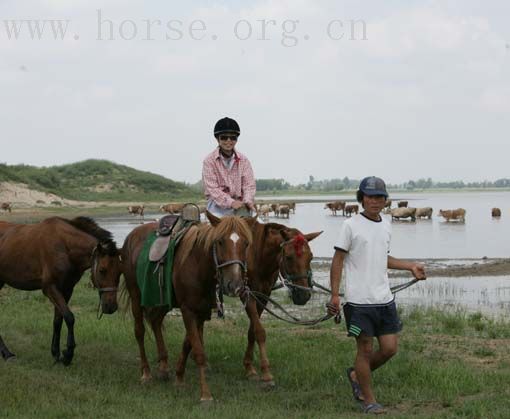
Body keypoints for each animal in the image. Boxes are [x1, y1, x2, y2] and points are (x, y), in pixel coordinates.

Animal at [0, 218, 120, 366]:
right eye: (102, 270)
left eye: (120, 272)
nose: (111, 307)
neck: (64, 246)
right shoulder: (50, 288)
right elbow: (69, 317)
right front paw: (68, 354)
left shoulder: (66, 289)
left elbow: (58, 320)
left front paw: (56, 353)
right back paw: (7, 354)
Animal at [121, 212, 253, 402]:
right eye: (220, 241)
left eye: (246, 243)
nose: (234, 285)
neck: (198, 265)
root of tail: (131, 236)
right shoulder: (188, 310)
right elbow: (198, 351)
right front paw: (205, 394)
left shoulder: (201, 312)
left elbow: (188, 344)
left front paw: (179, 378)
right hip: (135, 295)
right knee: (139, 331)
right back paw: (146, 373)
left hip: (163, 301)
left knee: (155, 321)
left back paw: (163, 367)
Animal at [242, 220, 320, 388]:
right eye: (289, 257)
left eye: (311, 257)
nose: (303, 295)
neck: (257, 255)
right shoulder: (247, 294)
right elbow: (259, 331)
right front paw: (265, 373)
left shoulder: (263, 296)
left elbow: (252, 331)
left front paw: (249, 367)